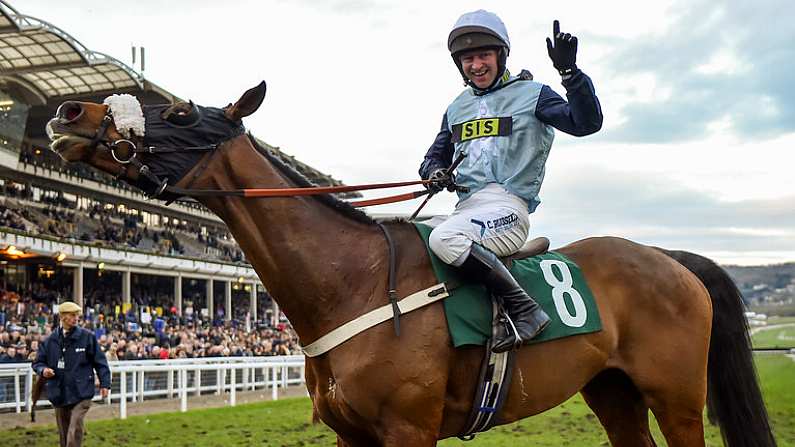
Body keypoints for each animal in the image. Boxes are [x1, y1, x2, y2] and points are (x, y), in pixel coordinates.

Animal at [45, 82, 776, 446]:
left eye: (175, 111)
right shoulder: (354, 436)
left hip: (676, 397)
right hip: (611, 389)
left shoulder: (408, 429)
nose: (69, 109)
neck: (352, 283)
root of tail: (671, 259)